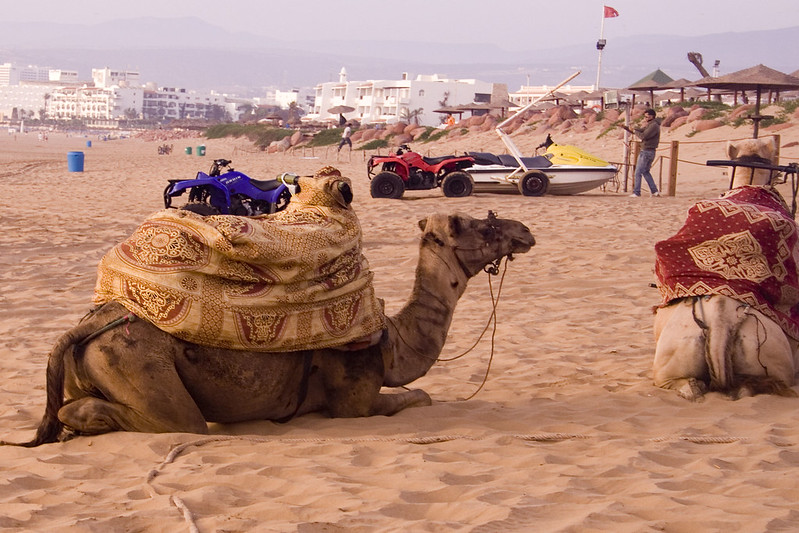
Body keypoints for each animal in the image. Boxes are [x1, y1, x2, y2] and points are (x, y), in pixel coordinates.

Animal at [6, 209, 536, 444]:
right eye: (483, 225)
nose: (525, 231)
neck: (391, 342)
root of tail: (87, 325)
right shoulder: (354, 401)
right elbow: (419, 396)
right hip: (134, 362)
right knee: (180, 423)